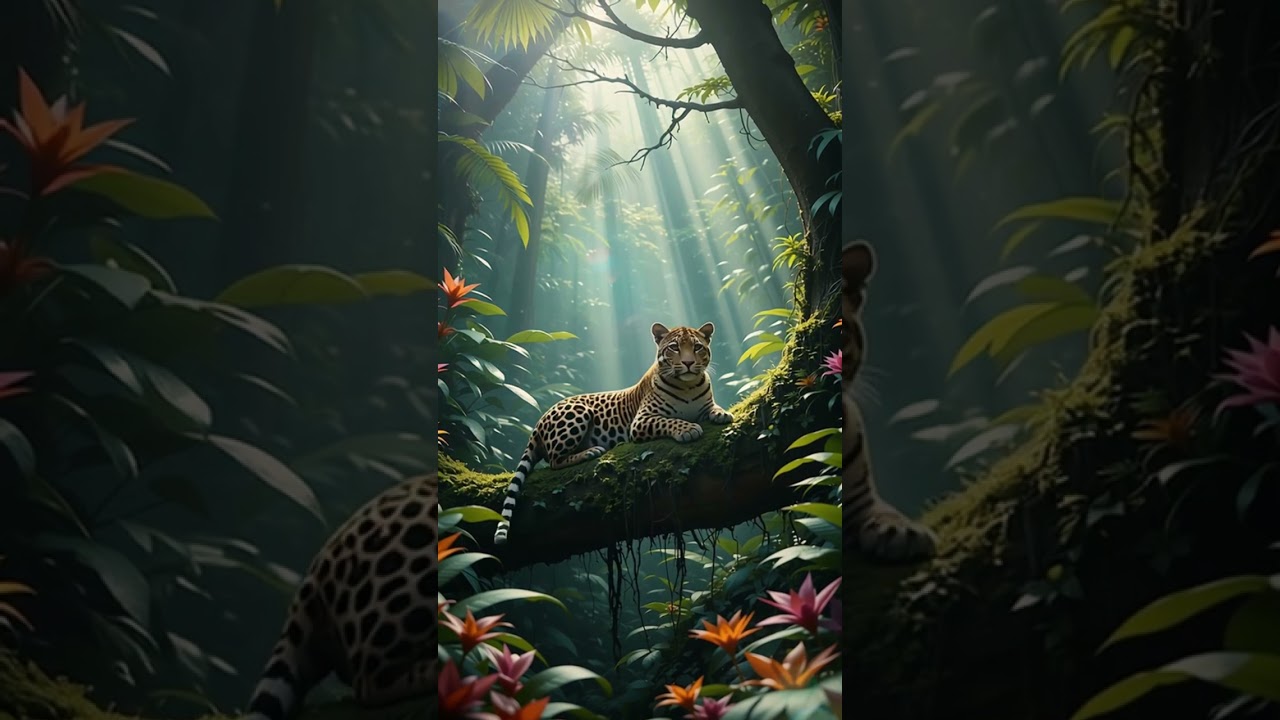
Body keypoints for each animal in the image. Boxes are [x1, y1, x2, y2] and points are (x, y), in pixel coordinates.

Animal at [492, 322, 733, 544]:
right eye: (674, 347)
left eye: (697, 347)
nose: (688, 363)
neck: (688, 386)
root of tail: (539, 420)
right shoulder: (642, 420)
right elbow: (669, 421)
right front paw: (688, 429)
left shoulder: (703, 405)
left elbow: (712, 408)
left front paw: (722, 414)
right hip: (578, 413)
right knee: (554, 460)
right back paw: (590, 452)